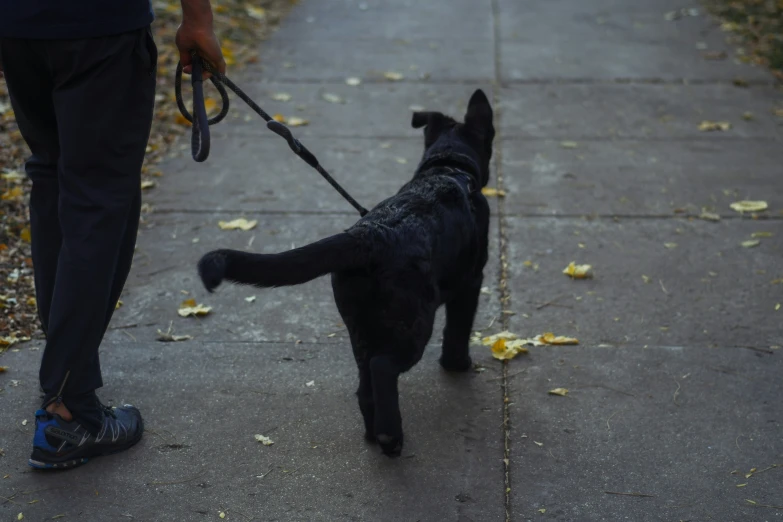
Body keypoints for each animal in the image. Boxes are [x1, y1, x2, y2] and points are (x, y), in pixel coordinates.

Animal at [198, 90, 490, 456]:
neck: (449, 169)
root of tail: (371, 236)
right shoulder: (471, 281)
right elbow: (459, 328)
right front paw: (457, 364)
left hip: (359, 325)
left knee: (366, 383)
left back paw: (375, 434)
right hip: (413, 322)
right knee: (383, 367)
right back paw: (390, 437)